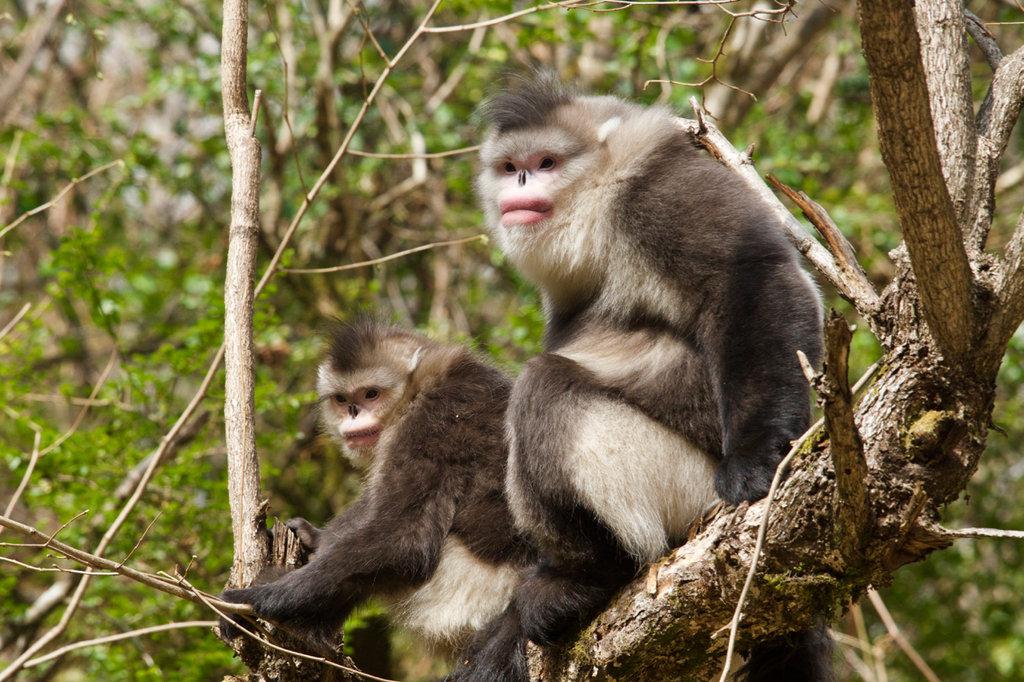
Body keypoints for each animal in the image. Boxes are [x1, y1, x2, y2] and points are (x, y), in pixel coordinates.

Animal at [223, 321, 536, 655]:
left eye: (371, 394)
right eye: (342, 399)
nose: (354, 411)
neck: (418, 389)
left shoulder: (432, 425)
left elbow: (404, 541)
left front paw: (258, 598)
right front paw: (313, 537)